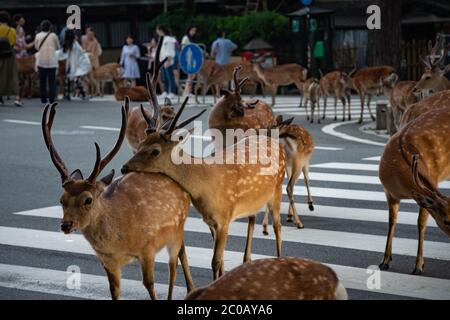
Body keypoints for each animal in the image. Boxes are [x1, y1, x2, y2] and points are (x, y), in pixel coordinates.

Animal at [42, 100, 195, 300]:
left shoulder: (147, 248)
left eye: (88, 200)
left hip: (178, 225)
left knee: (174, 263)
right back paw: (191, 288)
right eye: (61, 199)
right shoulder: (108, 261)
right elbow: (114, 289)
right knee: (182, 253)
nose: (66, 225)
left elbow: (149, 283)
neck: (118, 242)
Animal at [123, 81, 284, 278]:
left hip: (278, 186)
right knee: (253, 220)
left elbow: (216, 261)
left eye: (155, 151)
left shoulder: (224, 218)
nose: (124, 168)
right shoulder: (210, 222)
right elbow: (220, 260)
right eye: (140, 144)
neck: (205, 185)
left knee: (278, 226)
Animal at [378, 103, 450, 276]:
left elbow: (420, 223)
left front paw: (418, 265)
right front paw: (385, 261)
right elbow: (392, 221)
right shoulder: (389, 192)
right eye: (447, 221)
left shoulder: (432, 183)